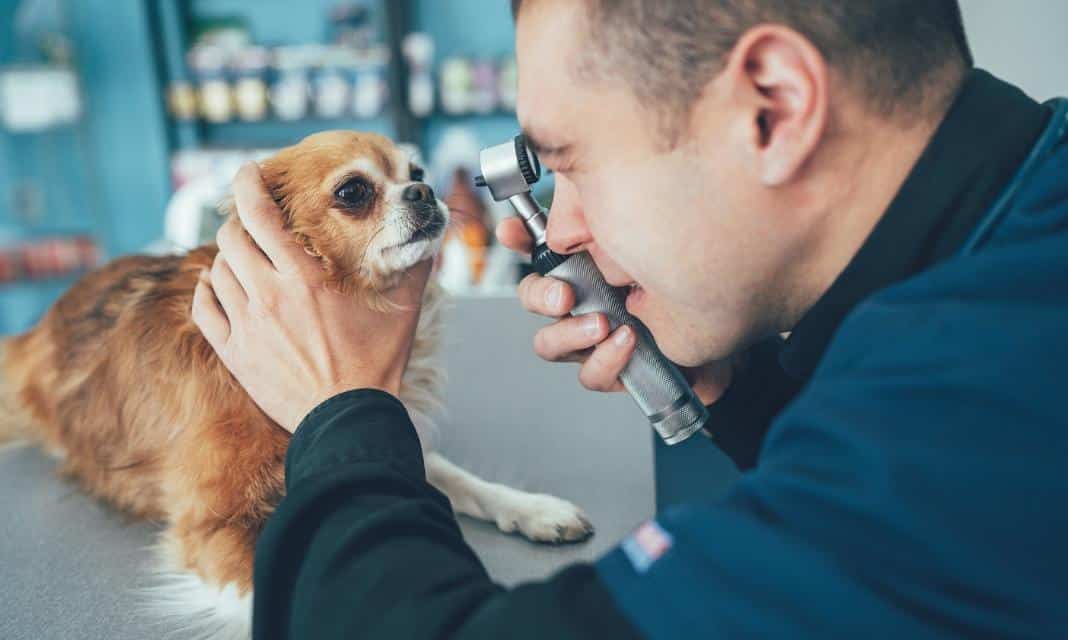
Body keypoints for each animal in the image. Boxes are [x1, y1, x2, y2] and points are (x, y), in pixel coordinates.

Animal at [0, 131, 593, 640]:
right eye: (353, 191)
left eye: (418, 173)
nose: (425, 191)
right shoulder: (214, 526)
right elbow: (263, 589)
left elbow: (459, 478)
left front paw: (532, 508)